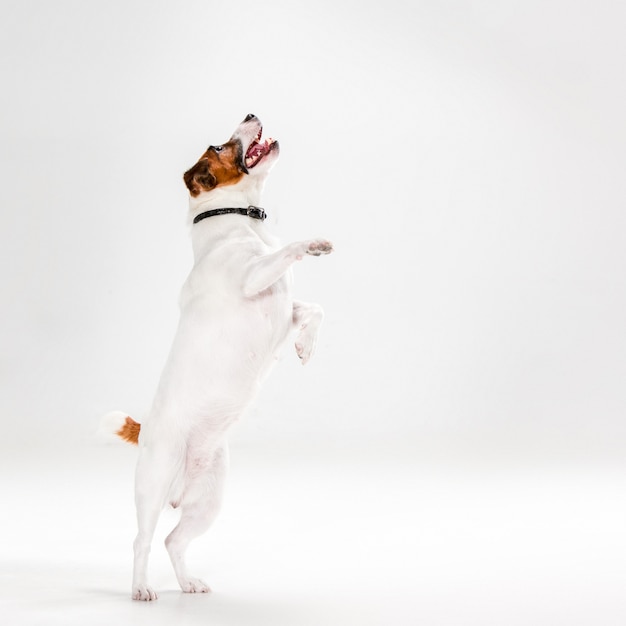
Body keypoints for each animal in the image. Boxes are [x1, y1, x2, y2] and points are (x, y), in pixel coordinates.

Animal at [103, 114, 332, 596]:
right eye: (218, 146)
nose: (249, 113)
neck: (241, 221)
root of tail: (147, 430)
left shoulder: (284, 310)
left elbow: (315, 309)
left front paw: (306, 347)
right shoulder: (252, 278)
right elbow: (289, 250)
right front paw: (314, 244)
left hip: (209, 503)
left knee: (173, 541)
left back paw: (188, 583)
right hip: (153, 486)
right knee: (142, 540)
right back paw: (141, 589)